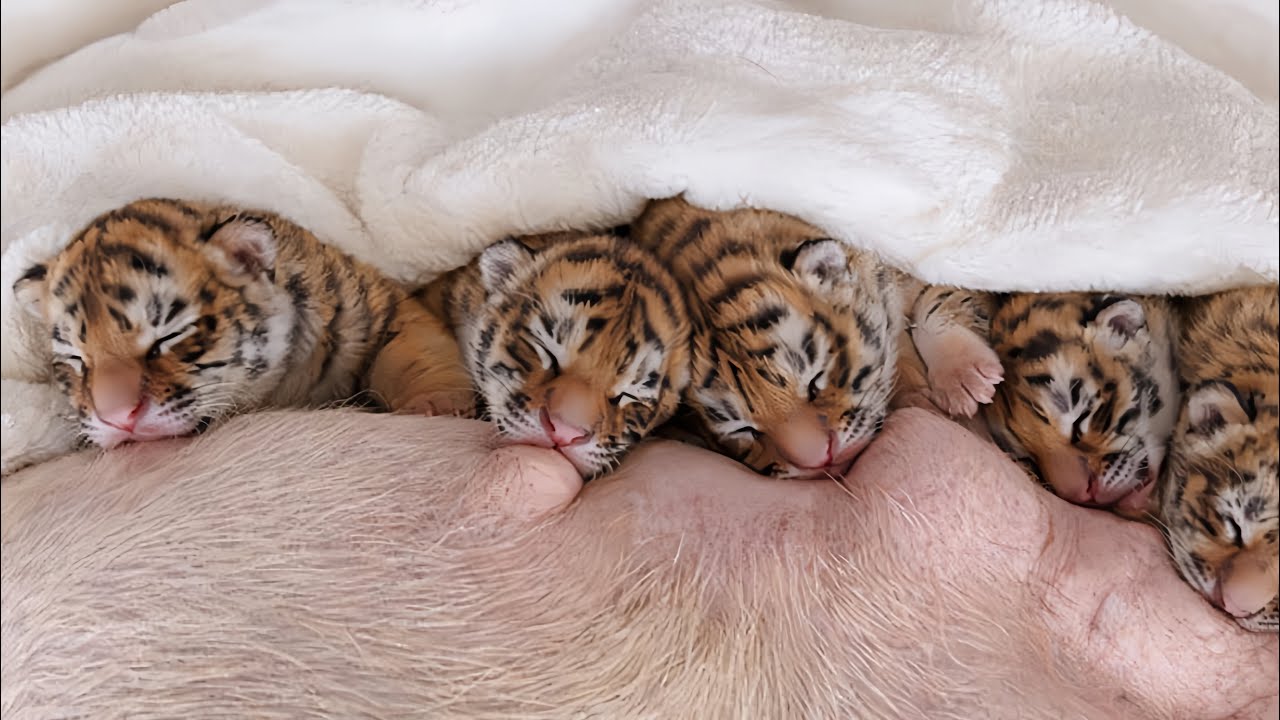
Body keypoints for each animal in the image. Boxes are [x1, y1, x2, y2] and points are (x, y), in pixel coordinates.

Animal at [11, 197, 473, 449]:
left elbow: (413, 350)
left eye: (169, 336)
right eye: (76, 359)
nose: (118, 419)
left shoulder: (378, 305)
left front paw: (436, 405)